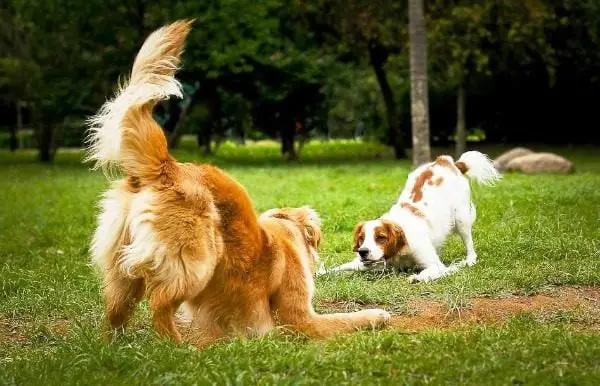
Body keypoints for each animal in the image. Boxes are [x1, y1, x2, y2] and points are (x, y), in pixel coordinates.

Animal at [86, 19, 392, 346]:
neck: (287, 231)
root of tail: (168, 166)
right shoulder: (299, 320)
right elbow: (349, 319)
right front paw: (377, 315)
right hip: (197, 262)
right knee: (160, 304)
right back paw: (180, 347)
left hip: (123, 271)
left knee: (116, 311)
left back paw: (114, 346)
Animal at [324, 152, 502, 284]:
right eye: (361, 239)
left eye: (381, 237)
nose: (363, 251)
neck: (400, 248)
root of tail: (447, 161)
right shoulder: (367, 264)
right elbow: (340, 267)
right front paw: (322, 272)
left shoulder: (436, 265)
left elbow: (431, 271)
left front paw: (418, 277)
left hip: (461, 218)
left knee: (470, 246)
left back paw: (468, 261)